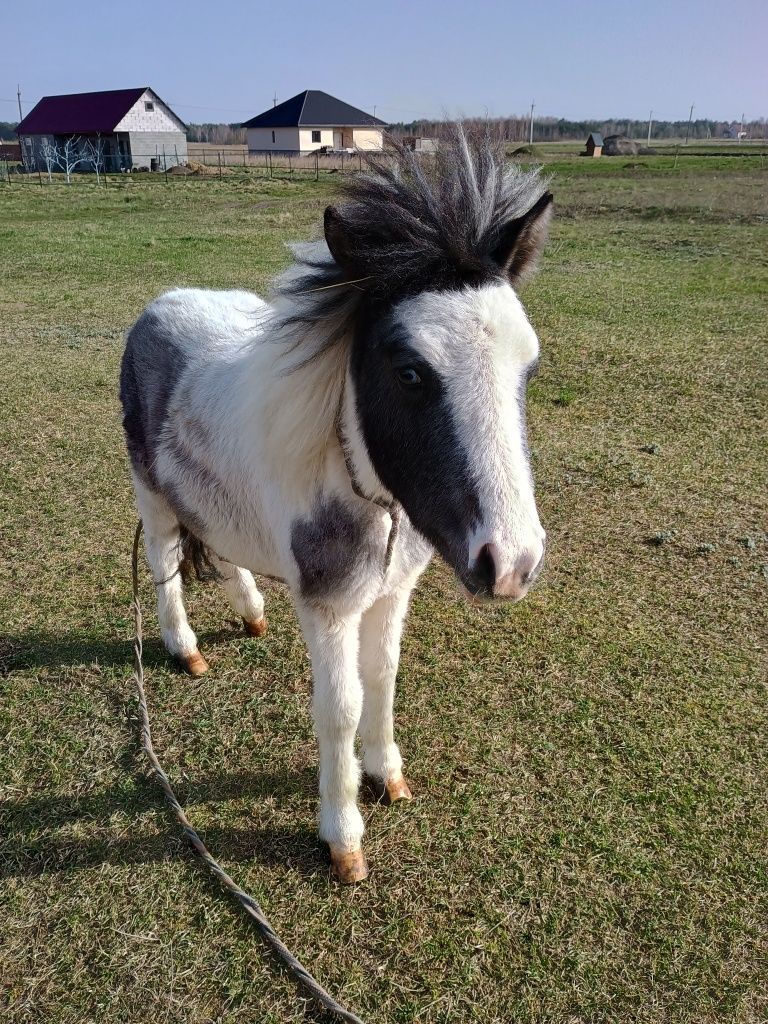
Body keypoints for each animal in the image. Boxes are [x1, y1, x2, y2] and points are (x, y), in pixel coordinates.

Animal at [118, 130, 552, 880]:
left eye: (528, 365)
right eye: (409, 372)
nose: (512, 564)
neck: (377, 502)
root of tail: (159, 305)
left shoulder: (392, 590)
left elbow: (384, 676)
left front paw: (388, 775)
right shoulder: (328, 608)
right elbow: (341, 707)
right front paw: (343, 836)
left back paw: (251, 611)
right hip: (152, 495)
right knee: (163, 559)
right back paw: (186, 648)